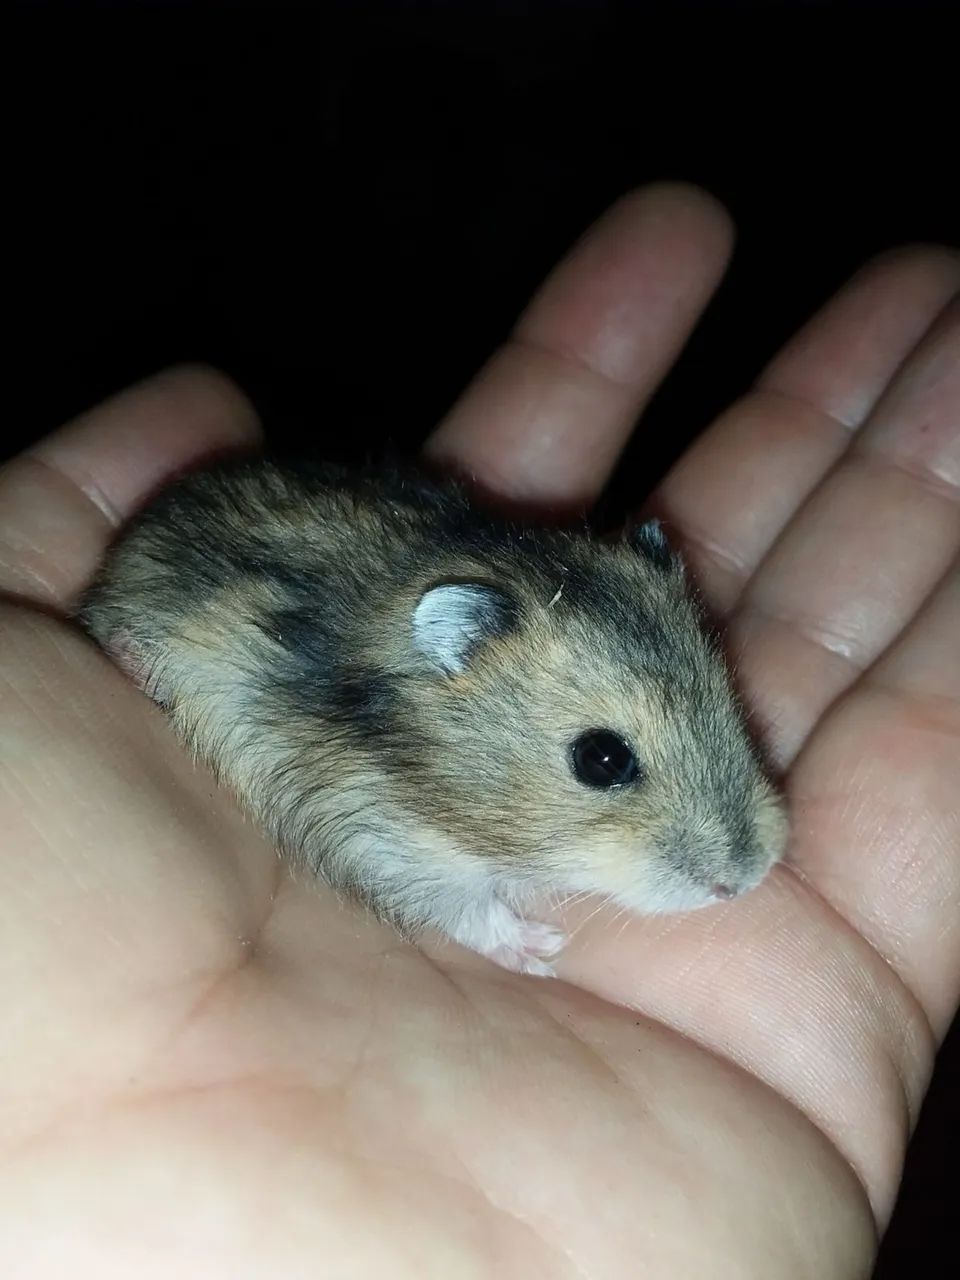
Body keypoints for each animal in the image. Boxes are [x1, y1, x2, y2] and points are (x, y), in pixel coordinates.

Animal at [77, 456, 787, 976]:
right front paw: (544, 952)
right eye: (601, 759)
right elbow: (470, 911)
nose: (747, 880)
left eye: (727, 697)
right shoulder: (380, 842)